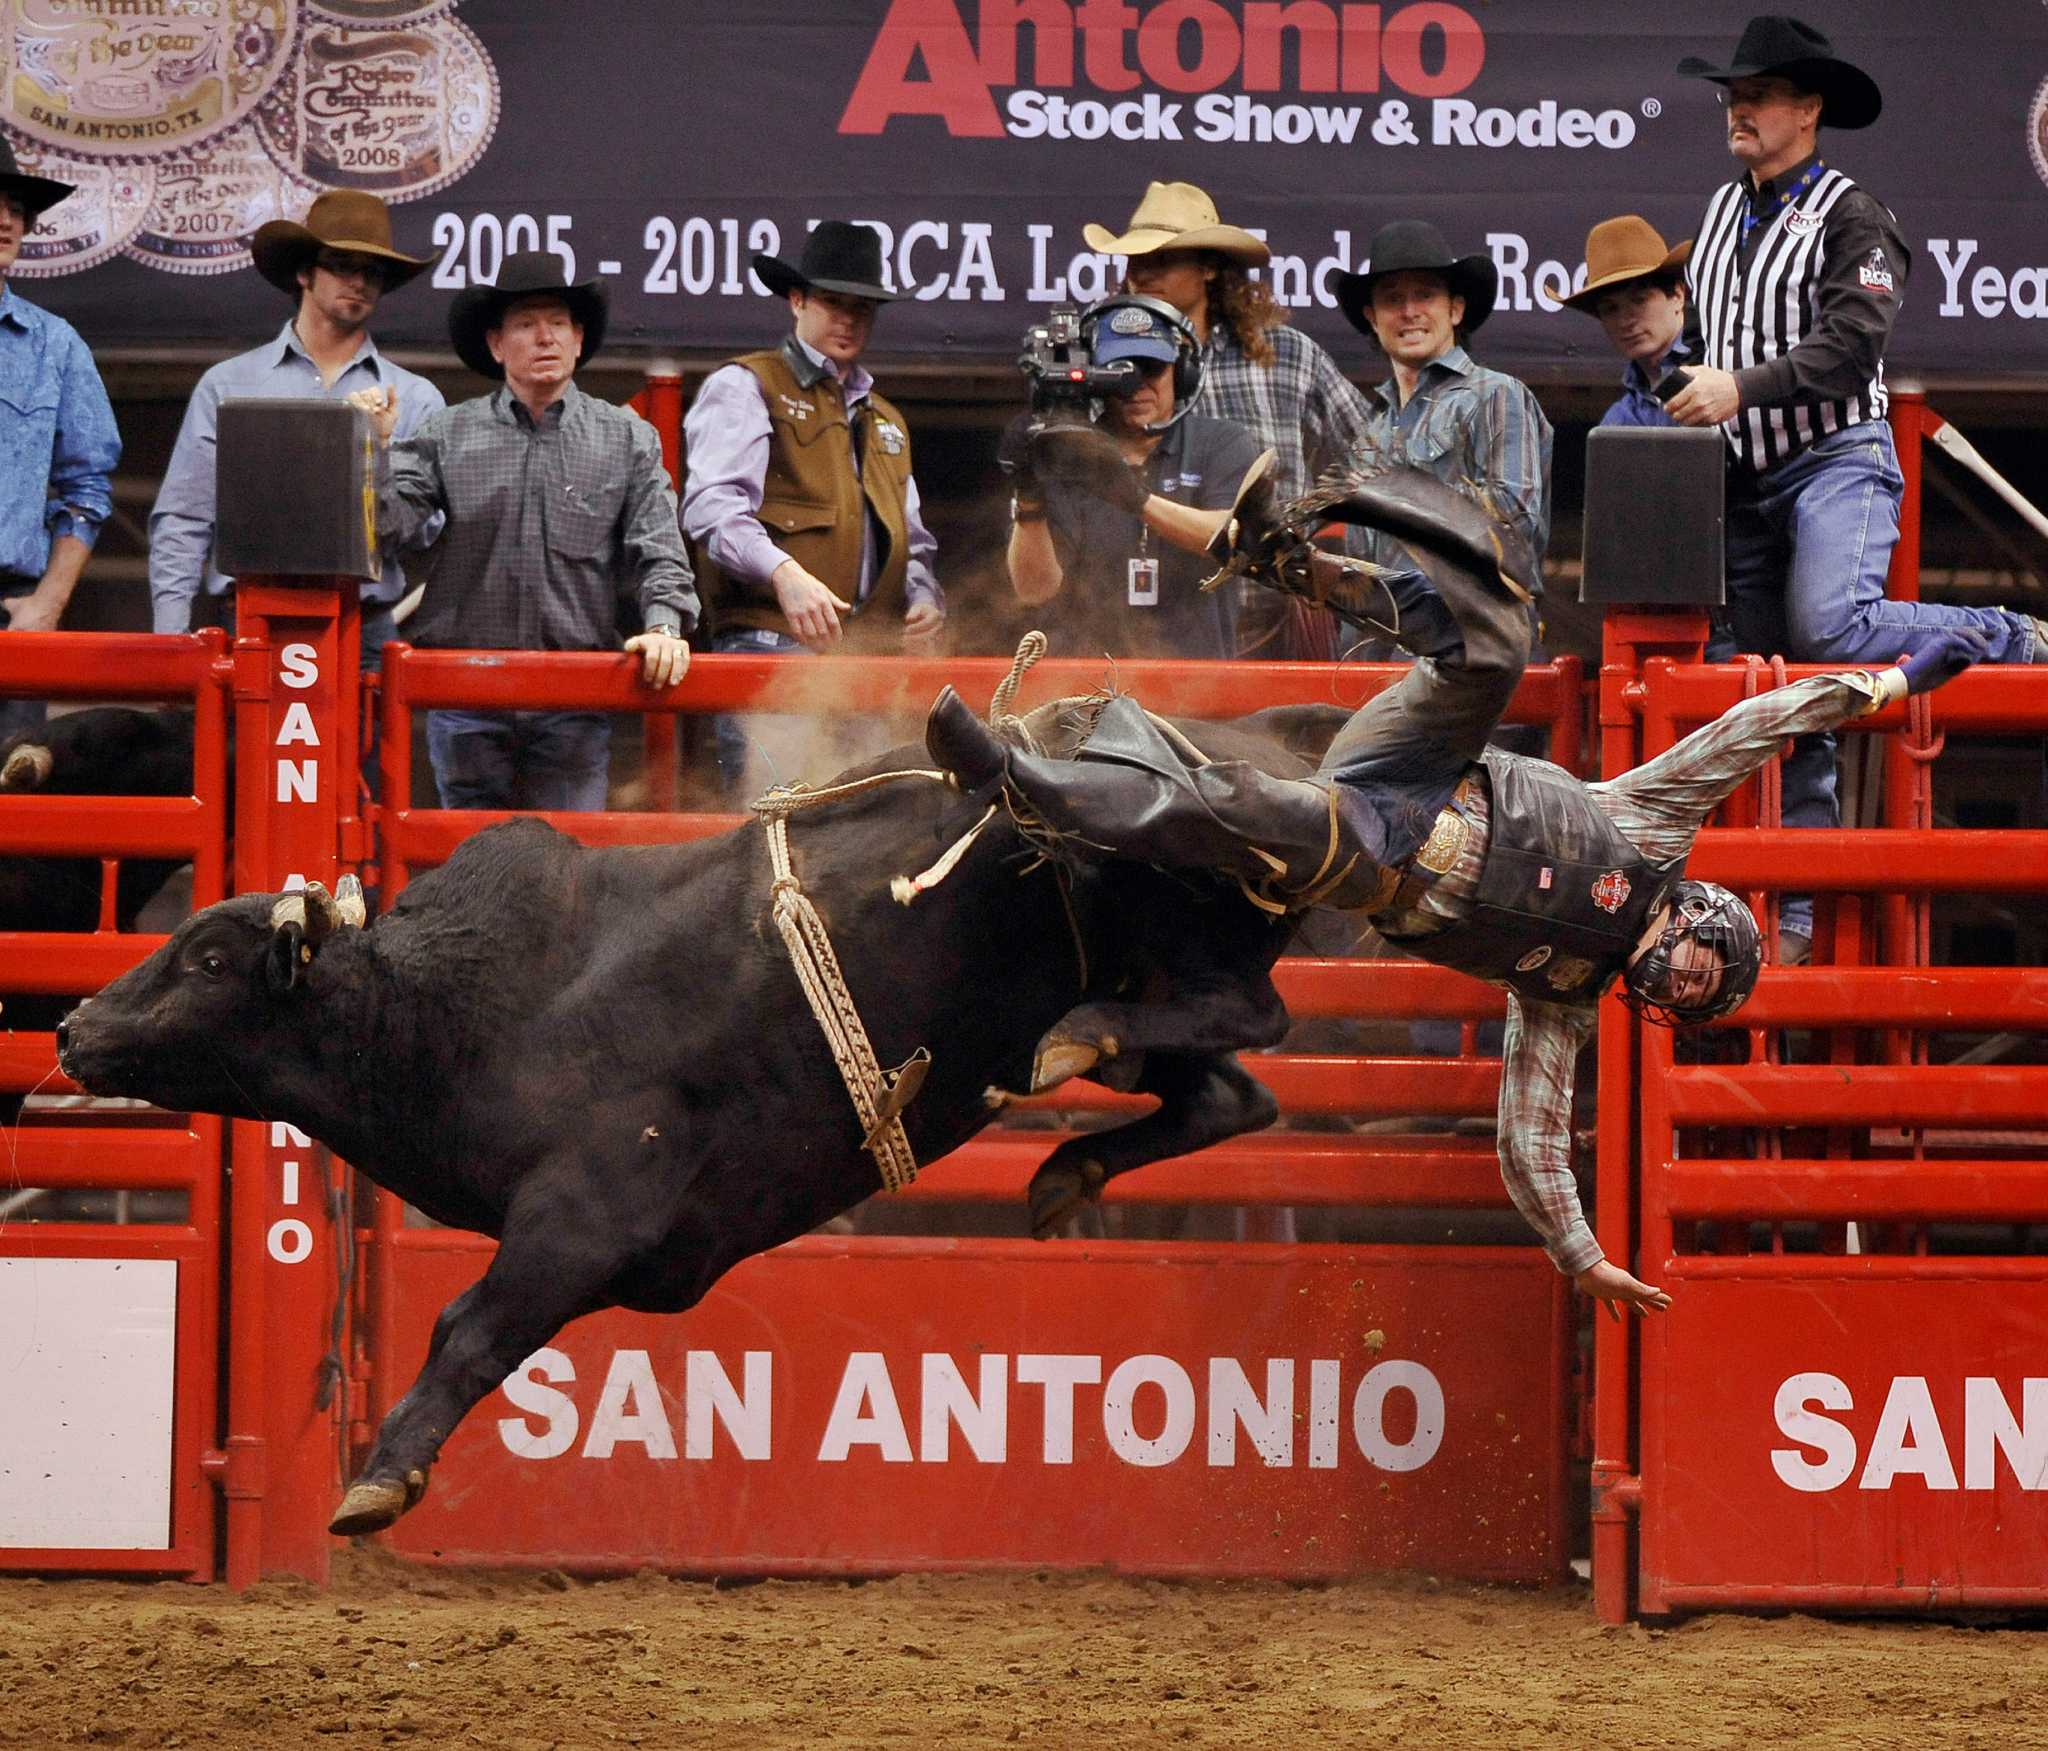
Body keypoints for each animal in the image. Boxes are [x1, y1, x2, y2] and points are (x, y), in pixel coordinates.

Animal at [51, 700, 1343, 1531]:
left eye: (207, 959)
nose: (72, 1028)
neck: (462, 1009)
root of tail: (1276, 745)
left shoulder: (583, 1216)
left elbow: (468, 1328)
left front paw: (378, 1480)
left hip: (1179, 907)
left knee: (1254, 1013)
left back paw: (1077, 1033)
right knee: (1229, 1085)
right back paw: (1069, 1142)